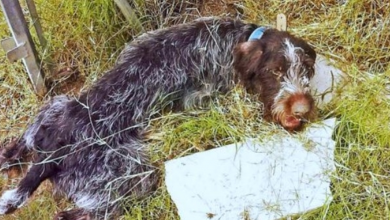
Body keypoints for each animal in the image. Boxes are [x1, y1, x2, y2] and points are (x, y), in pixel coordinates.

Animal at [0, 17, 316, 220]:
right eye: (275, 71)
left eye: (305, 70)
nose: (302, 108)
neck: (239, 37)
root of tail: (57, 150)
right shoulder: (206, 92)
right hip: (135, 171)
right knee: (99, 209)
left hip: (56, 103)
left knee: (25, 141)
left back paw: (10, 157)